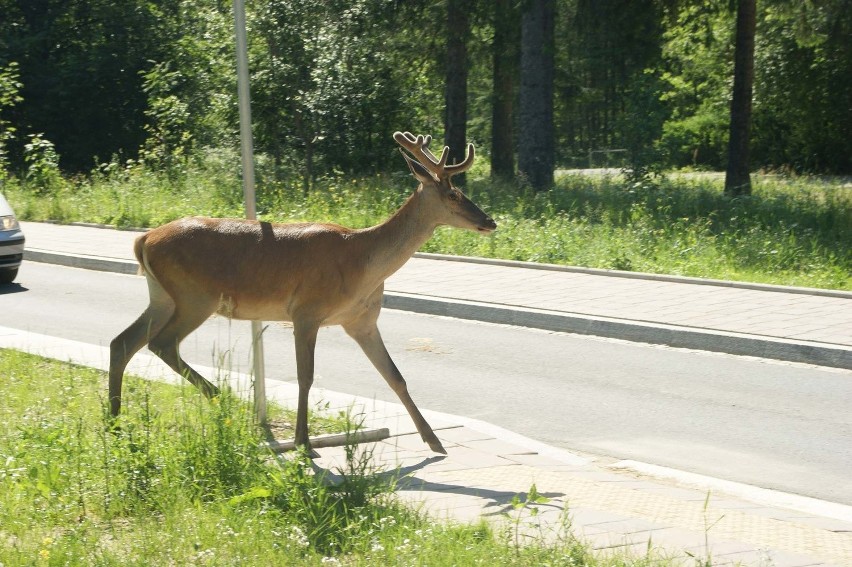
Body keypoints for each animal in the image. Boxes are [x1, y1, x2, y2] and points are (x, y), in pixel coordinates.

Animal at [107, 131, 496, 454]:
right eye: (453, 194)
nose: (490, 221)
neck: (362, 262)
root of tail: (143, 239)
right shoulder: (306, 312)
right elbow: (305, 377)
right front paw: (303, 442)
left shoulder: (362, 321)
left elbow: (395, 377)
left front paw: (435, 441)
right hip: (195, 296)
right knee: (161, 343)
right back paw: (220, 397)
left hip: (161, 295)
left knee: (122, 342)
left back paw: (114, 422)